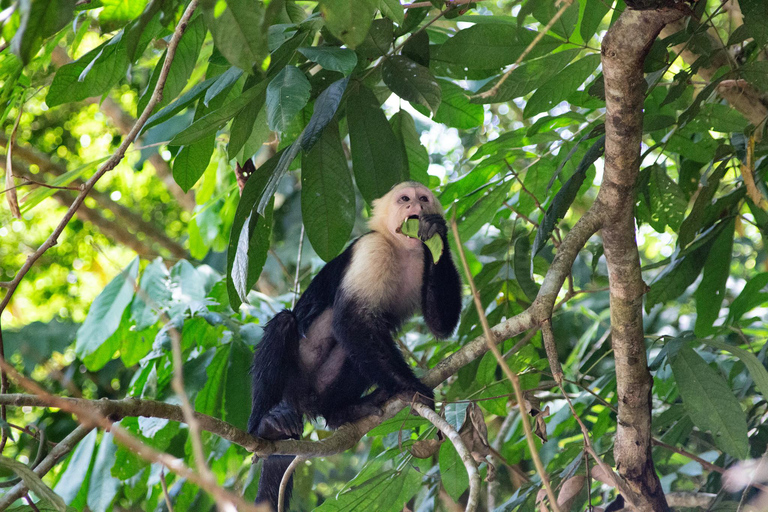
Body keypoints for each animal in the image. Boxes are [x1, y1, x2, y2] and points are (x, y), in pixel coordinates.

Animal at [249, 182, 460, 510]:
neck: (401, 249)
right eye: (404, 198)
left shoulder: (424, 258)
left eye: (424, 199)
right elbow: (351, 320)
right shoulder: (371, 250)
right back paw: (264, 426)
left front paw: (438, 230)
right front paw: (413, 388)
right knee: (285, 324)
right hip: (290, 384)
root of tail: (299, 400)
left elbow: (441, 324)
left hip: (322, 390)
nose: (416, 207)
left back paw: (342, 412)